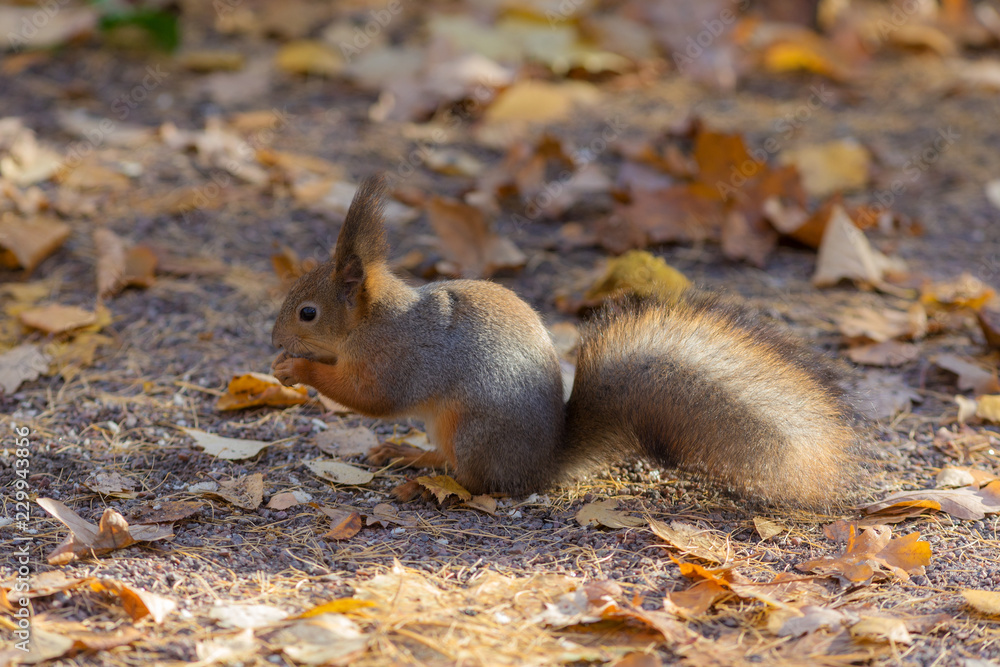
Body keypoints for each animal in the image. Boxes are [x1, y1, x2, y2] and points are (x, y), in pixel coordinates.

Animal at [271, 175, 868, 509]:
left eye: (308, 312)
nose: (274, 337)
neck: (375, 320)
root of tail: (543, 465)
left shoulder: (399, 357)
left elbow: (371, 397)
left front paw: (297, 370)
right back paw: (408, 453)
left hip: (475, 433)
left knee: (480, 483)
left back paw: (425, 480)